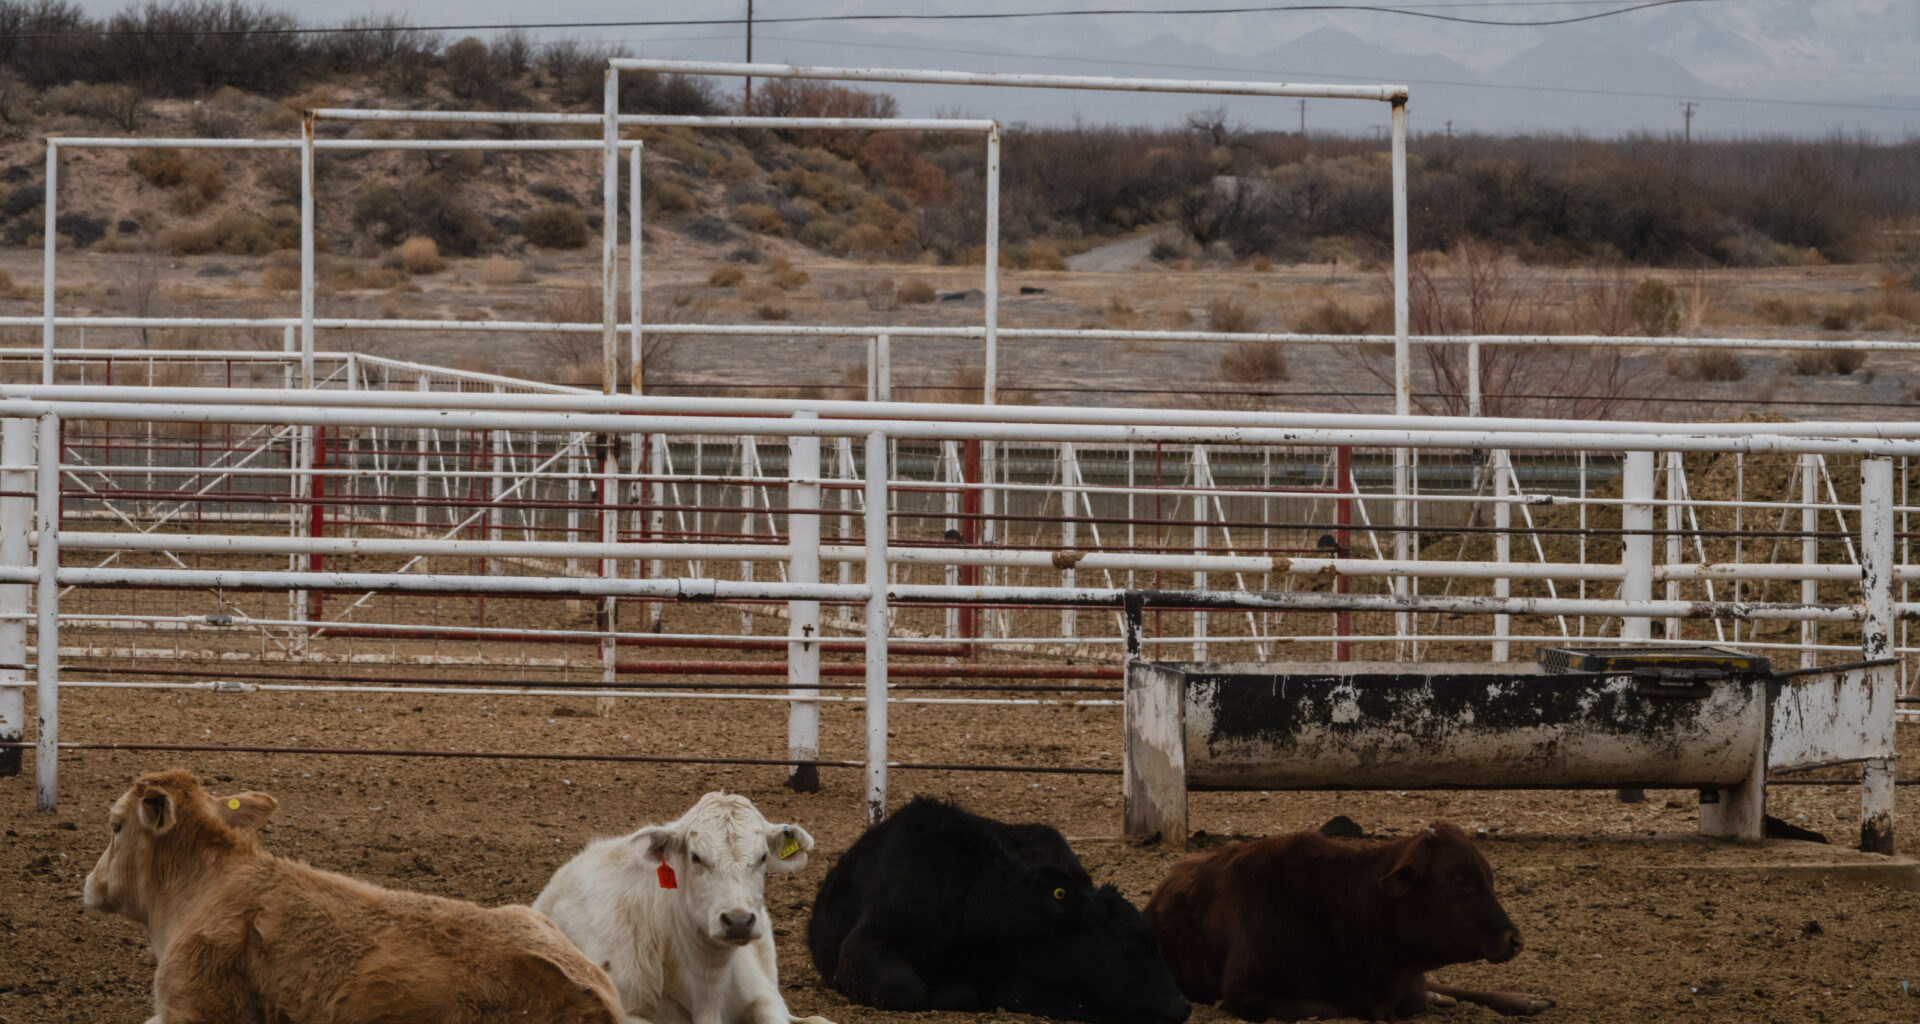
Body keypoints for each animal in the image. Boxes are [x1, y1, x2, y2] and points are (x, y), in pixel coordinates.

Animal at [1145, 822, 1553, 1022]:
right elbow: (1330, 1008)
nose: (1514, 939)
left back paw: (1526, 1000)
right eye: (1463, 882)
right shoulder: (1244, 994)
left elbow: (1418, 998)